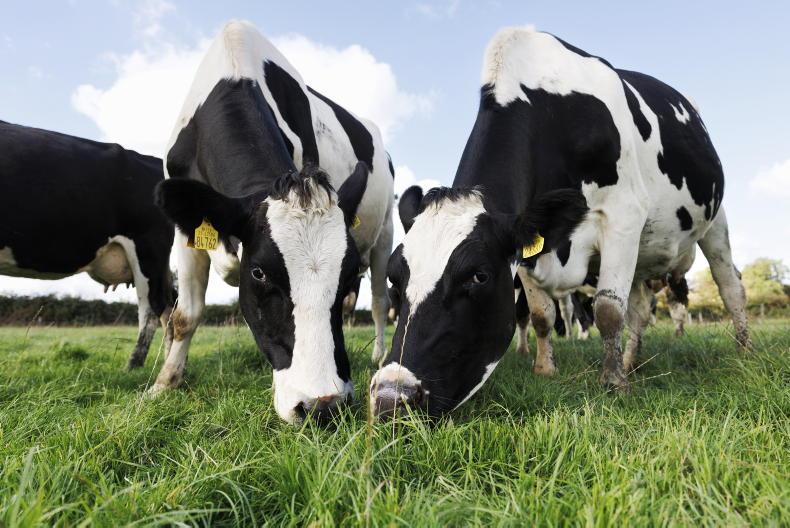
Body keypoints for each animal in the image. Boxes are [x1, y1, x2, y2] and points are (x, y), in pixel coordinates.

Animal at [151, 21, 394, 424]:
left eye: (344, 274)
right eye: (260, 273)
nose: (323, 405)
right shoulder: (186, 230)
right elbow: (185, 315)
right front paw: (165, 383)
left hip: (385, 232)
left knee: (378, 301)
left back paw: (378, 355)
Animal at [370, 27, 750, 418]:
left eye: (479, 276)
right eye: (394, 277)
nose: (391, 396)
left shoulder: (624, 214)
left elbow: (608, 310)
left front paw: (613, 383)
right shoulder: (527, 245)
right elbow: (542, 314)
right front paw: (545, 368)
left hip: (715, 221)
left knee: (729, 285)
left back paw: (743, 351)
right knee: (641, 308)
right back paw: (631, 361)